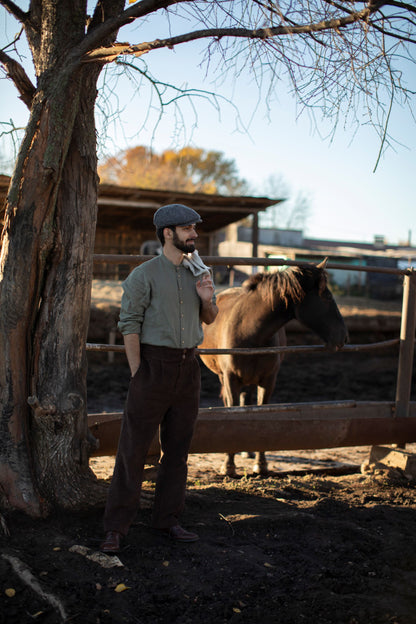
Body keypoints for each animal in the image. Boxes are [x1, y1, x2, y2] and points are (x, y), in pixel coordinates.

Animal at [199, 260, 348, 478]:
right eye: (327, 297)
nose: (344, 337)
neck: (250, 331)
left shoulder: (268, 380)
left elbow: (262, 413)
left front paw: (261, 464)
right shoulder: (230, 378)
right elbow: (232, 410)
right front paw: (228, 465)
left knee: (247, 402)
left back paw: (247, 450)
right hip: (224, 377)